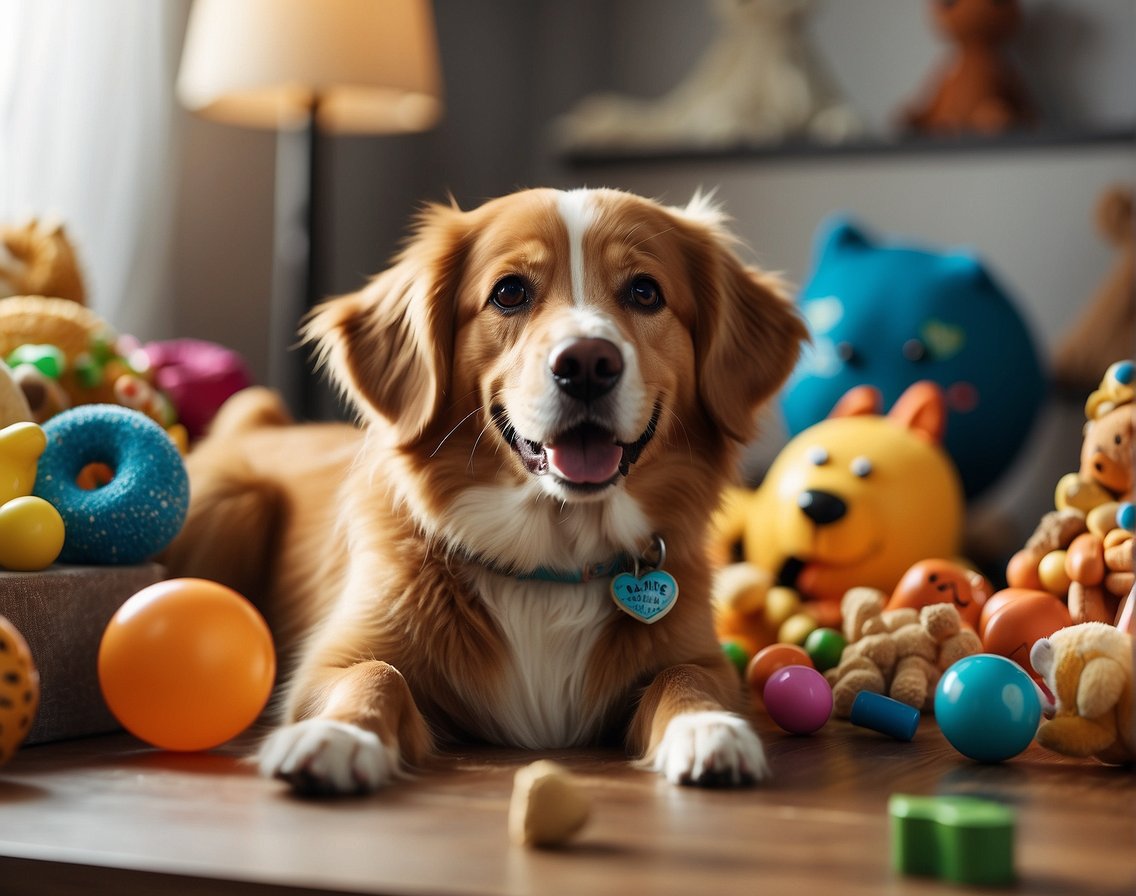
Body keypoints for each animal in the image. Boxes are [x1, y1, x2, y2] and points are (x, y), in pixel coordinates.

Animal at [165, 187, 808, 790]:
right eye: (509, 292)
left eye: (646, 292)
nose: (587, 363)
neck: (551, 562)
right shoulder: (324, 664)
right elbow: (373, 673)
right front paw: (338, 735)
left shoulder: (703, 656)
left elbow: (686, 675)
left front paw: (708, 726)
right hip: (233, 503)